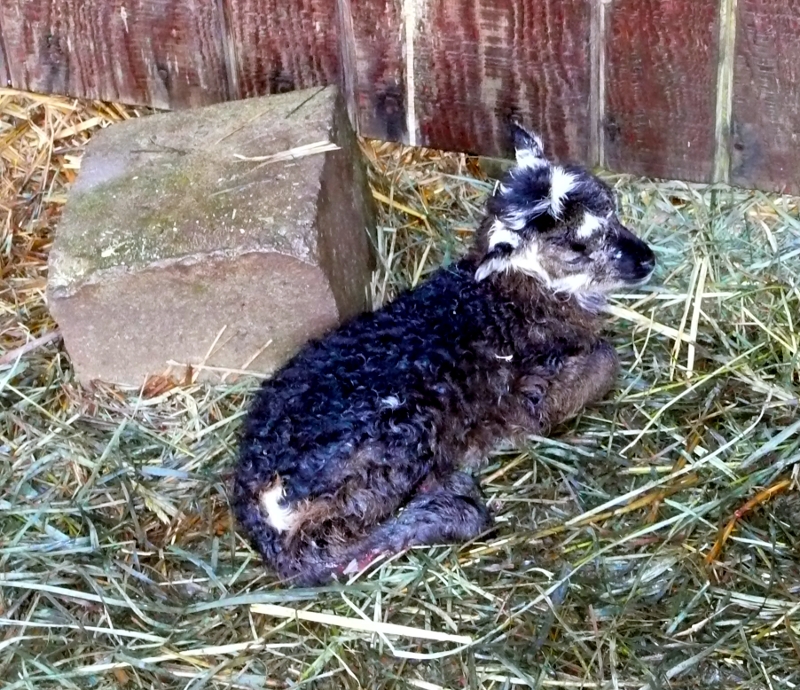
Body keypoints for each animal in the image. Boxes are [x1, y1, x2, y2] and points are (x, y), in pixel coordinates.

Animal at [232, 122, 656, 586]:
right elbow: (604, 361)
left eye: (612, 207)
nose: (647, 260)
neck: (504, 298)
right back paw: (450, 508)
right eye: (576, 247)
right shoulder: (532, 384)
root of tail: (258, 493)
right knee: (312, 555)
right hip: (387, 448)